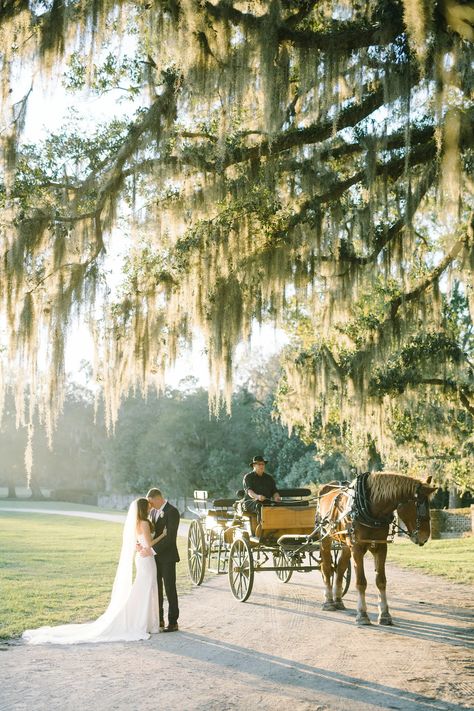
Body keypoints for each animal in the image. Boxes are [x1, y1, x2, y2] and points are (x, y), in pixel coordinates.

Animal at [318, 472, 436, 628]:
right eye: (419, 505)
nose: (425, 537)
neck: (370, 509)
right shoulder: (357, 548)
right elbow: (361, 582)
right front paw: (362, 614)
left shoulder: (380, 547)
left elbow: (381, 580)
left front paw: (385, 614)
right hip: (325, 538)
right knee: (326, 567)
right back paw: (329, 601)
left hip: (345, 544)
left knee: (341, 567)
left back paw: (338, 600)